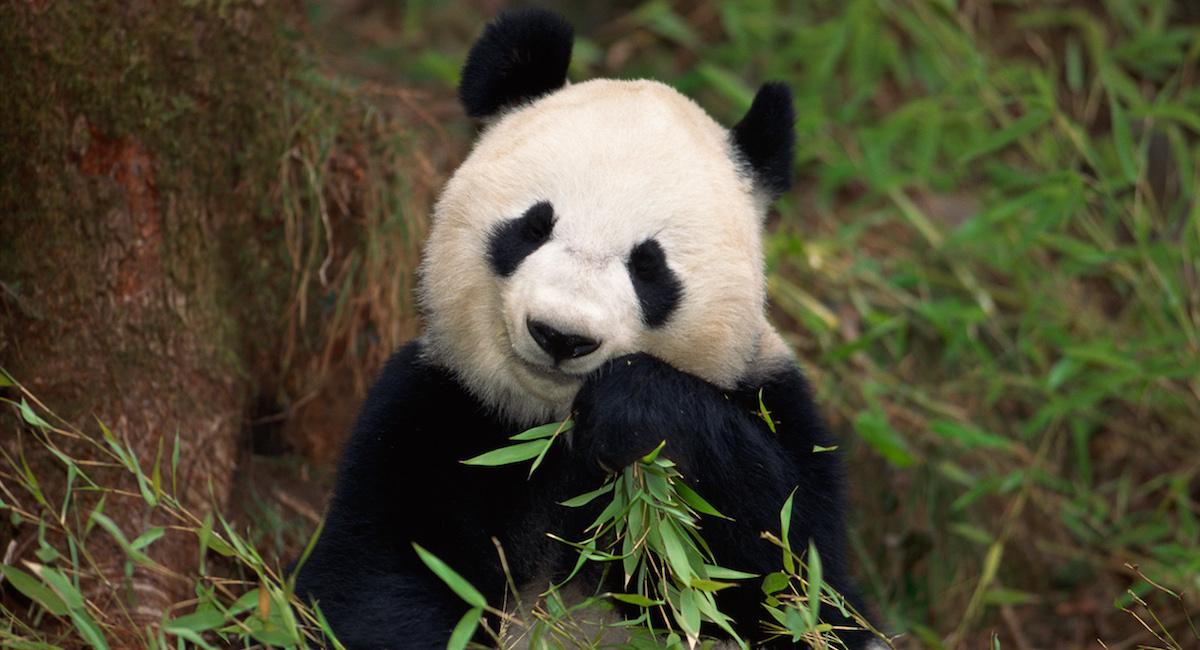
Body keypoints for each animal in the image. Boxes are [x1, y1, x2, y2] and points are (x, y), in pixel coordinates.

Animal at [297, 6, 883, 650]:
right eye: (533, 227)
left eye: (649, 265)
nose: (560, 334)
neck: (549, 431)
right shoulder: (436, 409)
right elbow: (376, 576)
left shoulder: (772, 399)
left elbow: (794, 576)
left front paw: (635, 410)